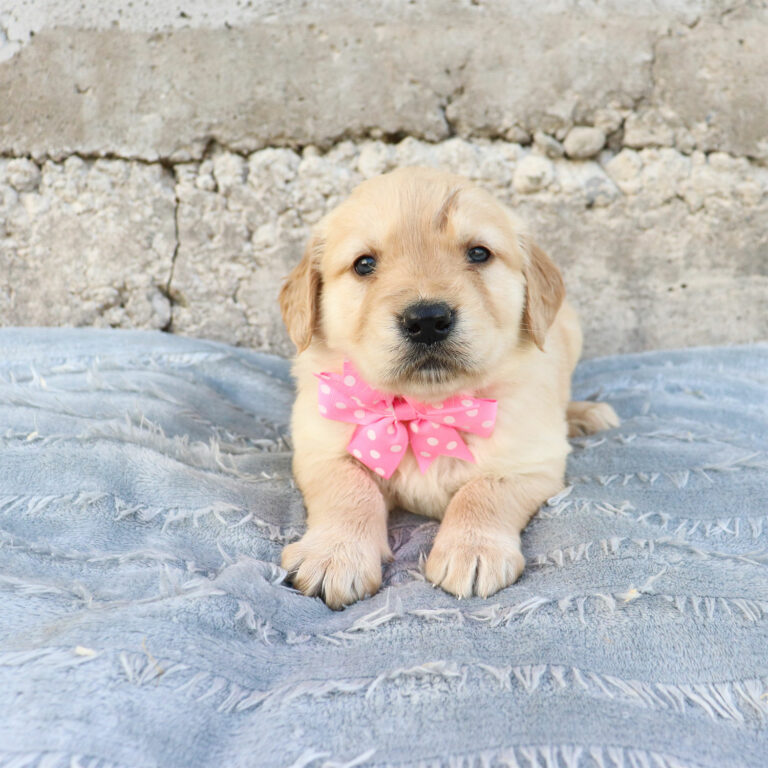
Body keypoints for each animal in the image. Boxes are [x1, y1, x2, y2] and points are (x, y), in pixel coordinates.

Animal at [276, 165, 616, 608]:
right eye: (364, 264)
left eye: (478, 253)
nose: (426, 320)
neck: (427, 409)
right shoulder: (319, 447)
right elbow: (349, 489)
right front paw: (333, 554)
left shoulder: (532, 460)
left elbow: (484, 490)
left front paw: (473, 550)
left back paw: (584, 414)